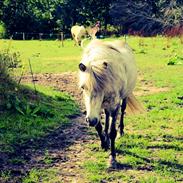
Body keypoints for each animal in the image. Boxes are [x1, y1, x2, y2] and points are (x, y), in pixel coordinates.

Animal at [78, 39, 144, 167]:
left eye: (102, 87)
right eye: (83, 88)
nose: (90, 120)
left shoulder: (114, 106)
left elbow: (112, 131)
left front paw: (112, 158)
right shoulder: (95, 109)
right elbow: (98, 126)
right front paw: (104, 143)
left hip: (124, 97)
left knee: (122, 111)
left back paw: (121, 131)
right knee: (107, 115)